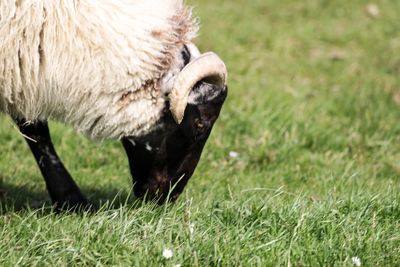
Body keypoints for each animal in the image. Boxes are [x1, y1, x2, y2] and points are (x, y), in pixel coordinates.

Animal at [0, 0, 227, 211]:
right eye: (199, 124)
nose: (169, 196)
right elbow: (38, 132)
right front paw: (73, 200)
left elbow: (33, 127)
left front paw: (68, 200)